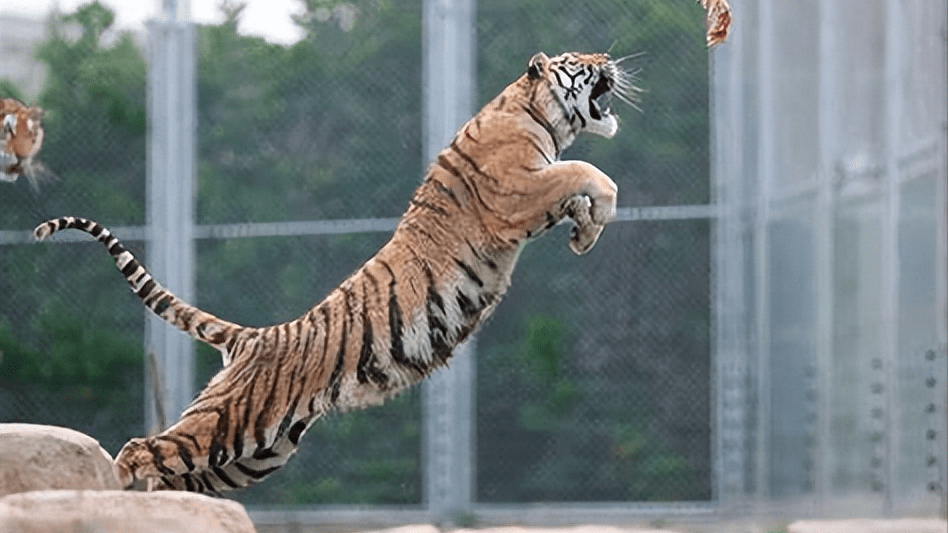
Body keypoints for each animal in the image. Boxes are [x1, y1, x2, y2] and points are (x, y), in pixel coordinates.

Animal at [35, 52, 636, 492]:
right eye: (580, 60)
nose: (608, 57)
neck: (536, 113)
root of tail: (253, 337)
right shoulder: (517, 192)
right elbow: (590, 172)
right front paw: (597, 215)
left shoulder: (533, 196)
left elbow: (578, 190)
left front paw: (583, 234)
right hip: (231, 424)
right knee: (143, 450)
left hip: (257, 453)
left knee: (177, 480)